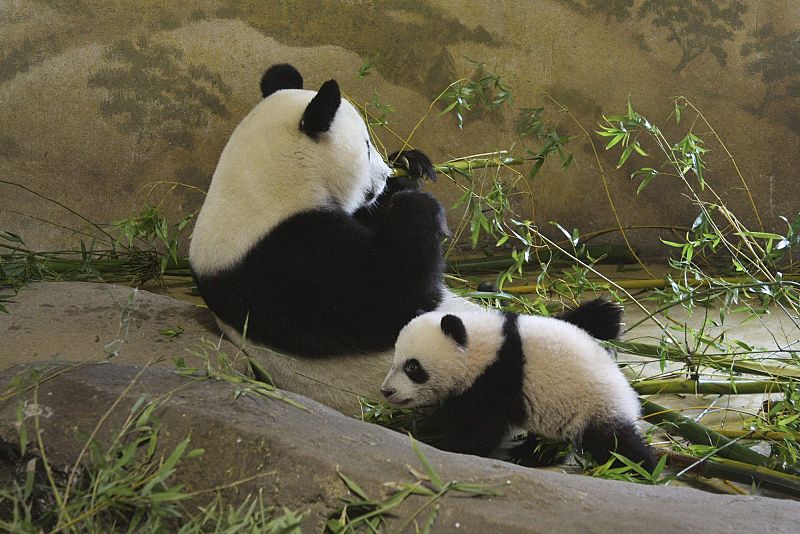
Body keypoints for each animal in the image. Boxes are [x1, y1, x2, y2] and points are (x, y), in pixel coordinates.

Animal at [380, 309, 657, 471]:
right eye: (395, 360)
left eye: (412, 367)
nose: (387, 391)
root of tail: (628, 395)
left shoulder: (496, 379)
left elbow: (478, 427)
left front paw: (446, 445)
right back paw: (528, 454)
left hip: (594, 406)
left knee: (615, 443)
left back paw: (642, 467)